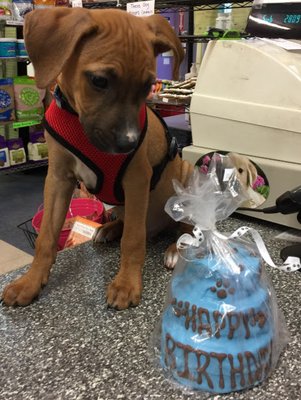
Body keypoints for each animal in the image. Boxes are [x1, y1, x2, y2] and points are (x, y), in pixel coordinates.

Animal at [1, 8, 192, 310]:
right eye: (99, 81)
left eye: (148, 86)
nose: (129, 144)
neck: (78, 122)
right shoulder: (57, 179)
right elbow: (46, 238)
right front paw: (30, 283)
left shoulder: (137, 178)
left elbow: (133, 240)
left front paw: (126, 284)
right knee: (134, 224)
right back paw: (109, 228)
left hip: (186, 178)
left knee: (188, 230)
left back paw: (176, 248)